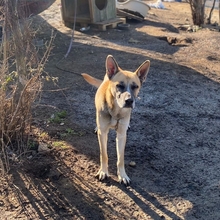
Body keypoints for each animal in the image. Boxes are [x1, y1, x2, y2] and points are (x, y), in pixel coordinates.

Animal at [81, 54, 150, 184]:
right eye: (119, 85)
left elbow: (120, 158)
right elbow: (104, 155)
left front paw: (122, 175)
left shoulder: (122, 135)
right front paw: (103, 171)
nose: (129, 101)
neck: (116, 111)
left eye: (135, 86)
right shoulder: (103, 134)